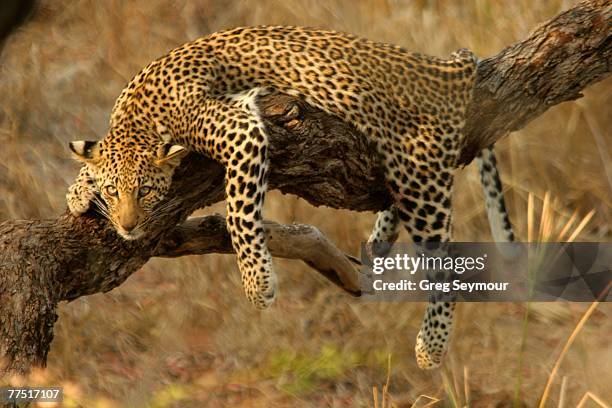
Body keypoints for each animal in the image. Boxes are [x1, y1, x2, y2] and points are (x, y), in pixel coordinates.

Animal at [67, 25, 512, 370]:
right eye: (113, 191)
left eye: (144, 190)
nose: (128, 226)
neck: (135, 115)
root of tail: (450, 68)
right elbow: (91, 163)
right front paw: (77, 191)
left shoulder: (241, 131)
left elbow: (239, 213)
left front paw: (257, 283)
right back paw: (380, 241)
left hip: (419, 169)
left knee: (445, 260)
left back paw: (431, 345)